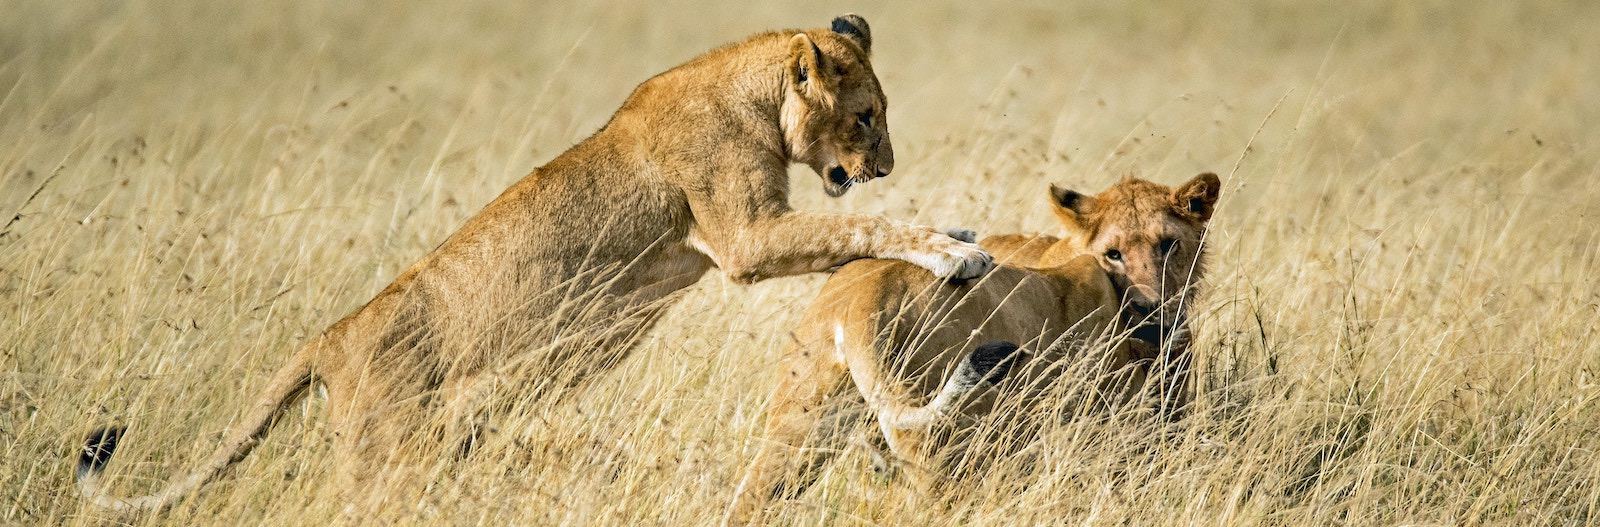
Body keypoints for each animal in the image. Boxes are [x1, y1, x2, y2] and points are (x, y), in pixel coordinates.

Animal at [720, 173, 1216, 522]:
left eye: (1169, 244)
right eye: (1113, 252)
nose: (1151, 308)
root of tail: (860, 299)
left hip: (801, 423)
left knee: (751, 499)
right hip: (948, 444)